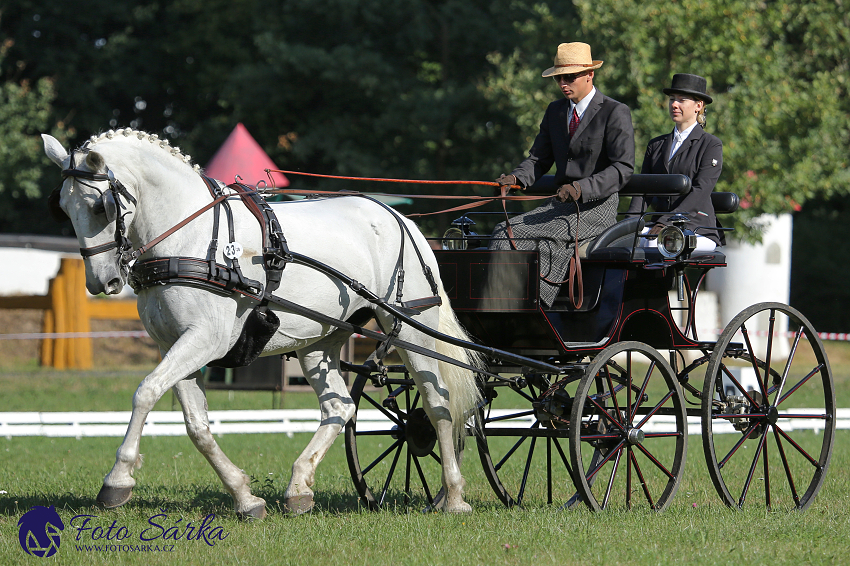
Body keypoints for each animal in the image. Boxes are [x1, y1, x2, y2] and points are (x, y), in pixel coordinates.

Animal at [43, 129, 480, 520]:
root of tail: (402, 219)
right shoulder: (175, 344)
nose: (102, 282)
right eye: (63, 207)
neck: (188, 237)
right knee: (340, 405)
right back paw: (299, 488)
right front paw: (244, 496)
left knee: (437, 403)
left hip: (411, 328)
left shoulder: (205, 339)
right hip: (319, 342)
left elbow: (146, 392)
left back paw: (454, 496)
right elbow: (196, 424)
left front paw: (117, 480)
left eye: (100, 208)